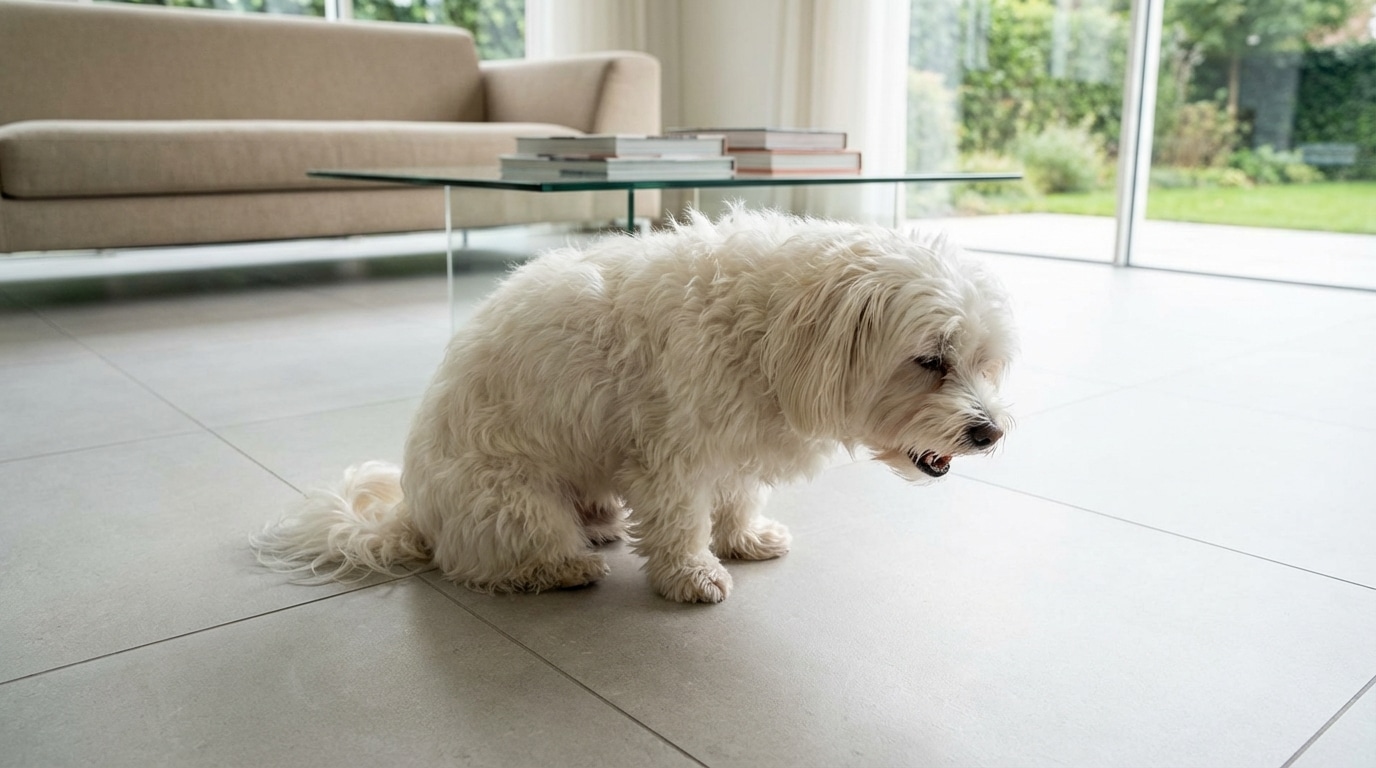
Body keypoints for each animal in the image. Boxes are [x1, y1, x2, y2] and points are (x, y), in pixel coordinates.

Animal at [251, 208, 1015, 603]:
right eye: (930, 360)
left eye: (985, 361)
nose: (990, 433)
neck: (769, 329)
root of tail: (415, 515)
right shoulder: (673, 452)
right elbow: (681, 523)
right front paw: (692, 575)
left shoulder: (732, 443)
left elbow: (736, 497)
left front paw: (742, 538)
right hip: (512, 505)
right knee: (490, 562)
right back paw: (562, 566)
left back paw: (599, 526)